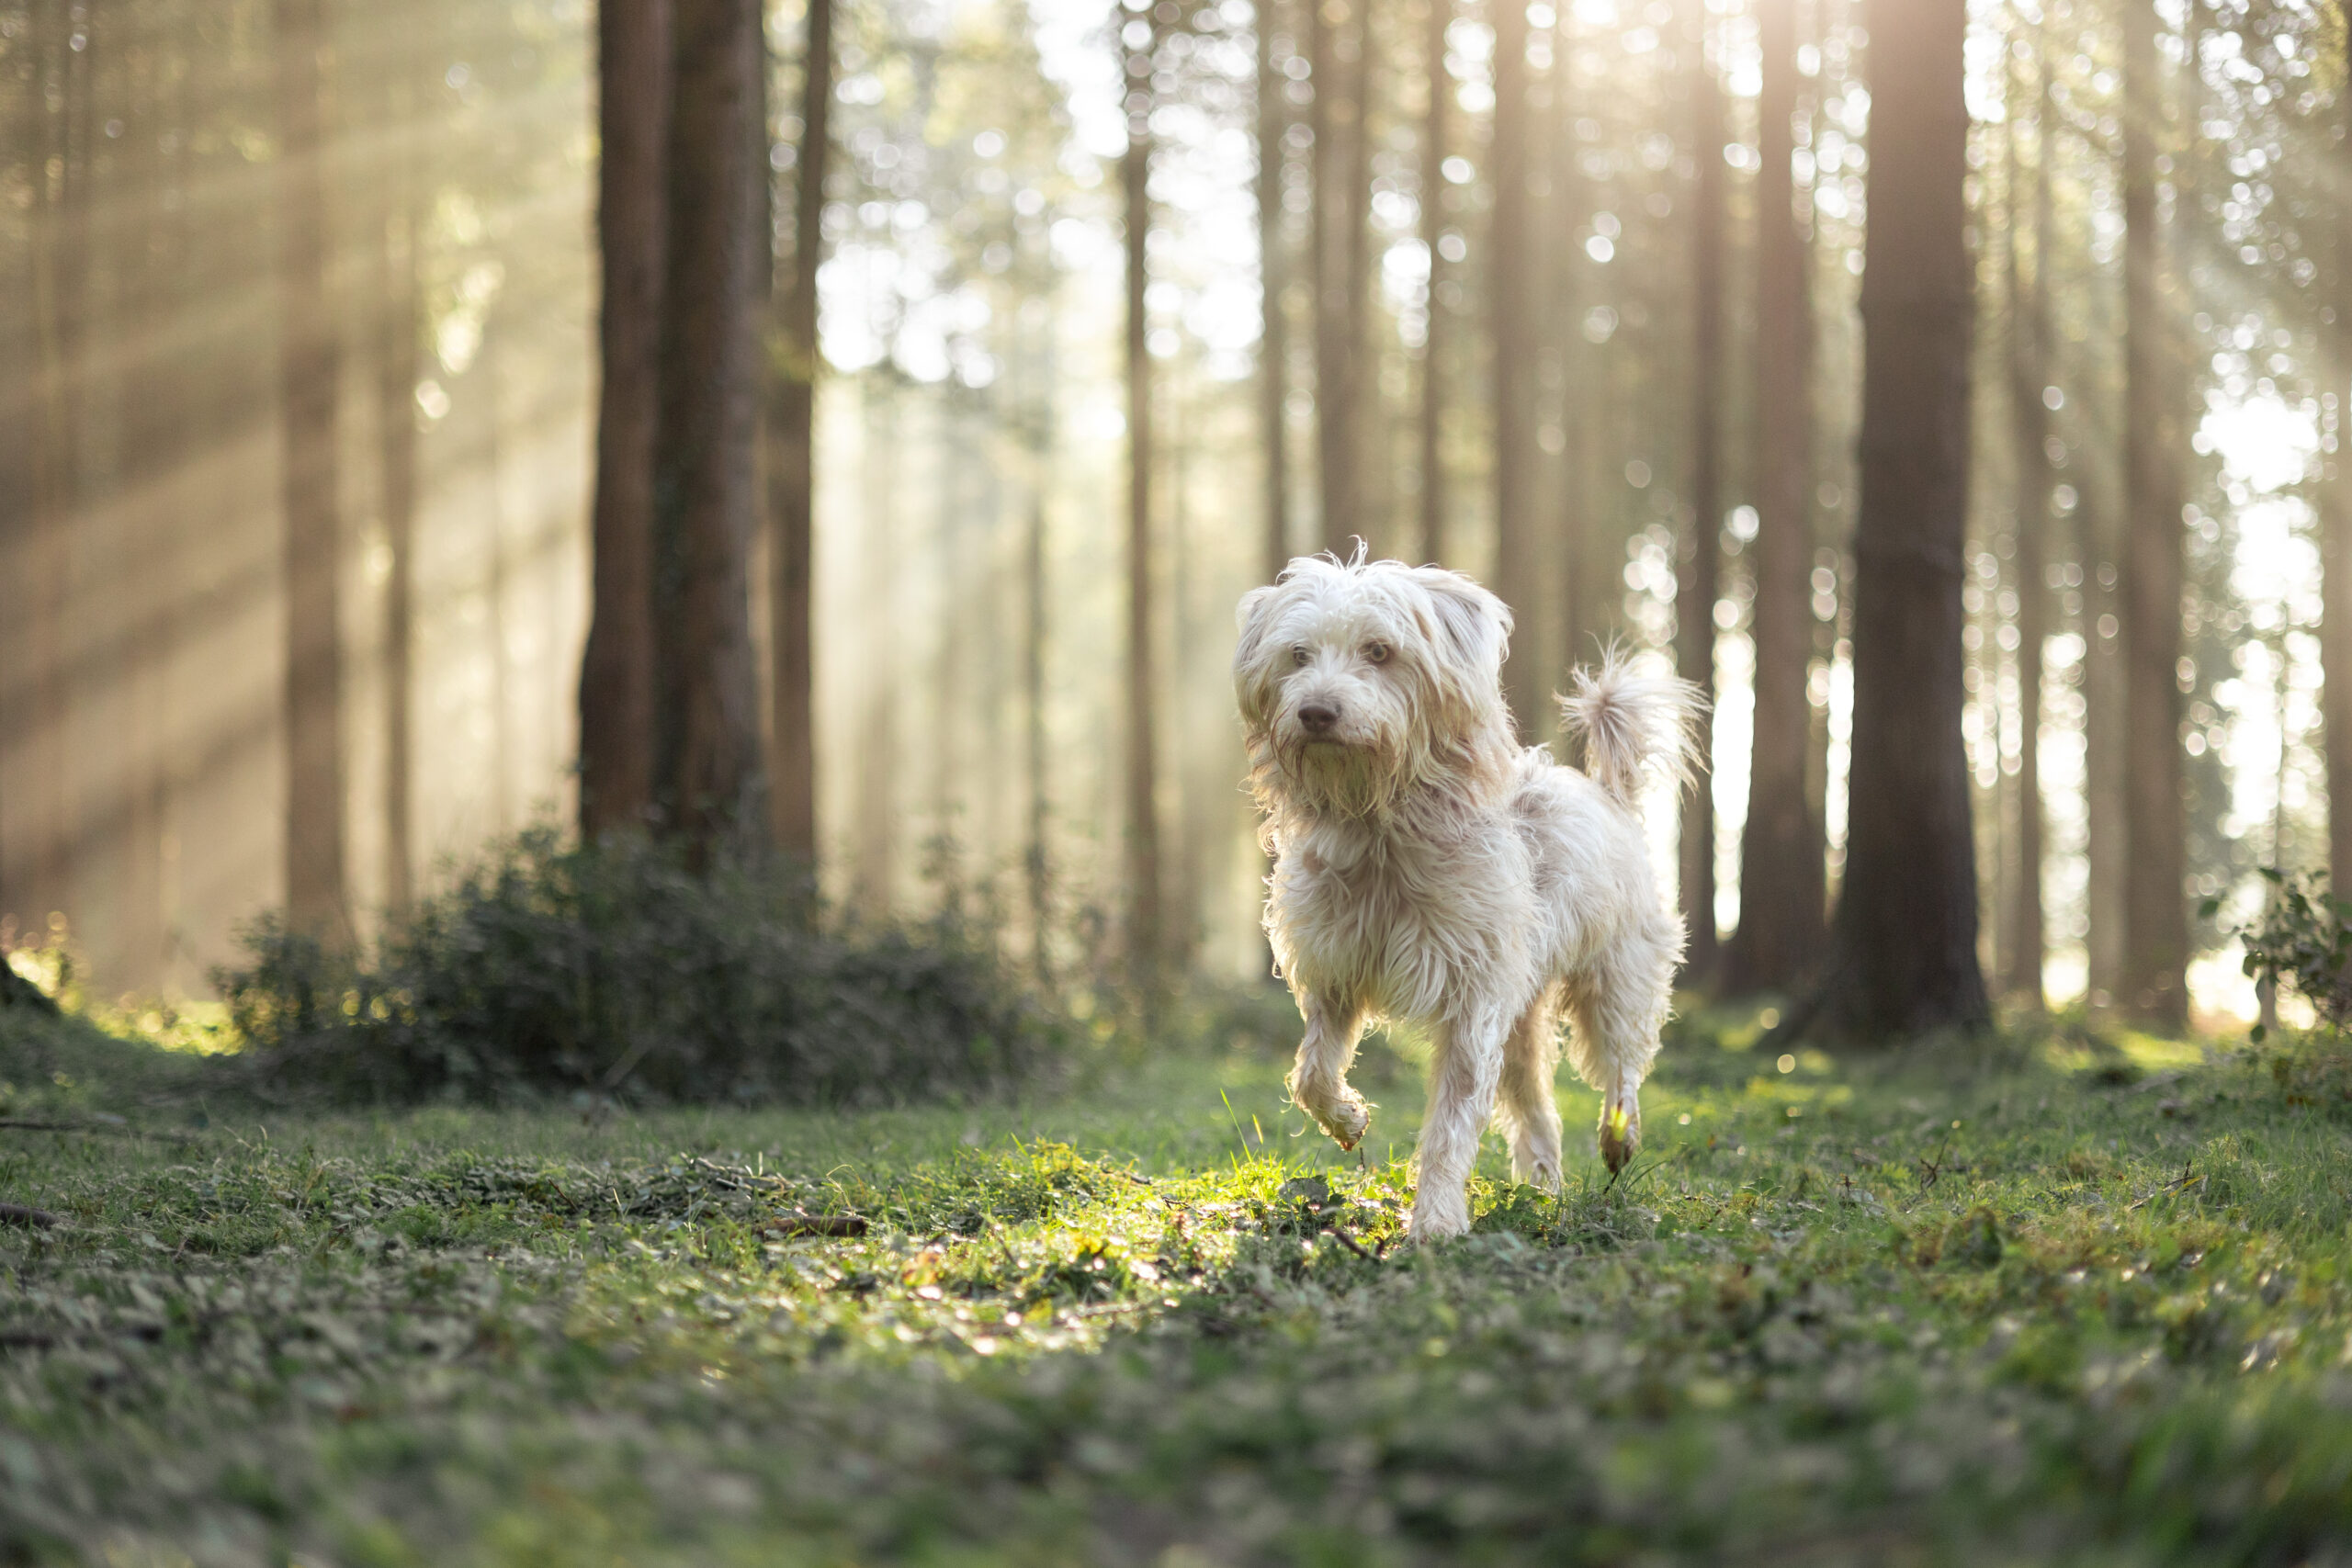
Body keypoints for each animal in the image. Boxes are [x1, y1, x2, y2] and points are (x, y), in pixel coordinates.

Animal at [1232, 549, 1712, 1241]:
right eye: (1298, 655)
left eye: (1379, 651)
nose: (1316, 712)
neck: (1380, 829)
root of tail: (1610, 795)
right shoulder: (1337, 972)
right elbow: (1311, 1073)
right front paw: (1349, 1118)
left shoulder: (1472, 1002)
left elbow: (1450, 1125)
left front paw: (1434, 1220)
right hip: (1521, 1017)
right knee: (1538, 1109)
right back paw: (1542, 1188)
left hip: (1615, 979)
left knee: (1623, 1063)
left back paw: (1618, 1137)